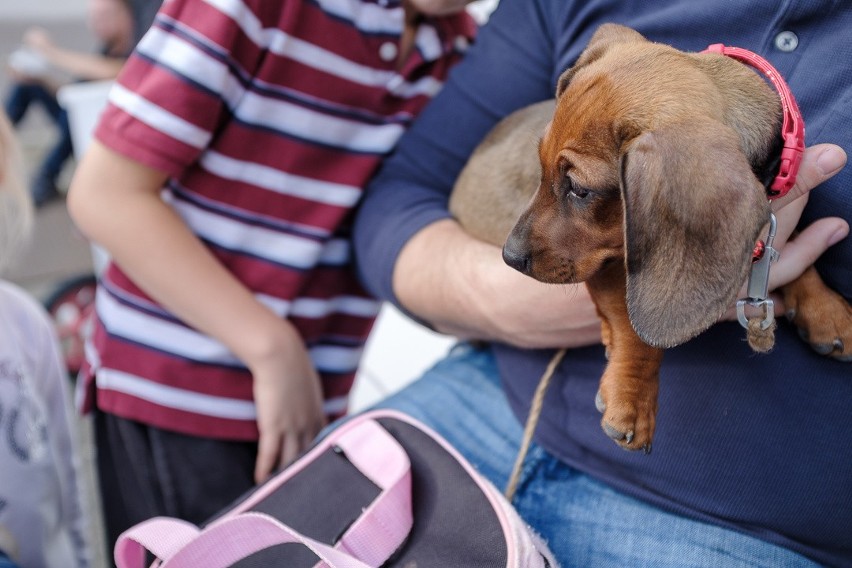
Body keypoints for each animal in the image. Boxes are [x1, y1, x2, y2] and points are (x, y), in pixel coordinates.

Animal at [450, 24, 848, 452]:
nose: (509, 256)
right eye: (539, 165)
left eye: (579, 189)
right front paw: (633, 396)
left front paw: (826, 309)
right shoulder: (610, 261)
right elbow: (631, 321)